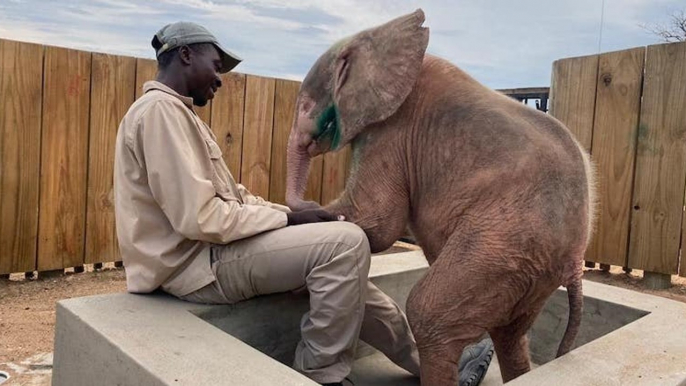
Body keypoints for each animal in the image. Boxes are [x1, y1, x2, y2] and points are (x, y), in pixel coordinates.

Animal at [284, 9, 596, 386]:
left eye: (304, 105)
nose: (311, 204)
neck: (375, 38)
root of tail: (575, 261)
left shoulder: (391, 130)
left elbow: (377, 222)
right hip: (529, 267)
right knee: (510, 336)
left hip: (507, 241)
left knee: (428, 316)